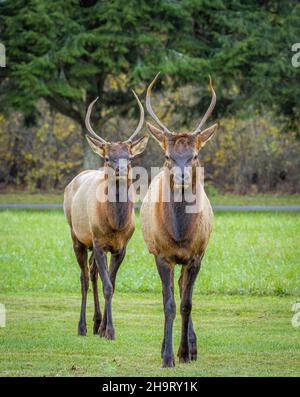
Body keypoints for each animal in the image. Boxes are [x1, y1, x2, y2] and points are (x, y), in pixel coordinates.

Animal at [63, 91, 148, 338]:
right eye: (108, 157)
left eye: (129, 157)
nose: (120, 169)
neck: (116, 224)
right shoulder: (99, 243)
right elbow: (107, 285)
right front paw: (110, 331)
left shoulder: (121, 247)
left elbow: (112, 283)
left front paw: (103, 328)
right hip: (77, 236)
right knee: (84, 277)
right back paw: (82, 326)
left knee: (92, 273)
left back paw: (95, 322)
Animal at [141, 73, 218, 366]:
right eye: (168, 155)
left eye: (194, 155)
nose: (182, 176)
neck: (180, 234)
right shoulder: (162, 255)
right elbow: (169, 304)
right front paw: (167, 356)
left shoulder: (196, 256)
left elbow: (187, 304)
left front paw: (184, 352)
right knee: (172, 292)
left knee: (183, 289)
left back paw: (192, 347)